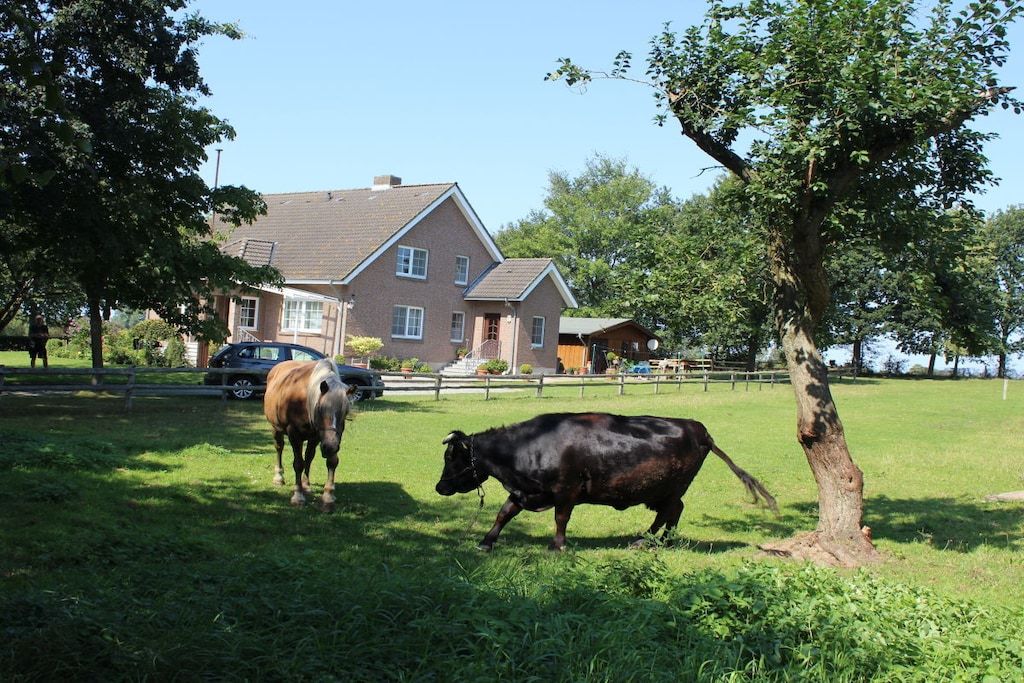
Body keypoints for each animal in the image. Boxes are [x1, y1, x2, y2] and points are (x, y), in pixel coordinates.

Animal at [264, 358, 355, 509]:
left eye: (345, 412)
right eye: (320, 409)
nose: (330, 447)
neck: (304, 400)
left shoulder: (319, 437)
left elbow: (329, 461)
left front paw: (327, 496)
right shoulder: (294, 434)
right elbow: (298, 464)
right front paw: (298, 496)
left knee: (308, 457)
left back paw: (305, 484)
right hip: (276, 428)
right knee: (279, 448)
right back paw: (279, 477)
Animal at [435, 412, 777, 551]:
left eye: (452, 458)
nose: (440, 487)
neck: (533, 445)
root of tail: (698, 428)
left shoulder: (566, 490)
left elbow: (561, 518)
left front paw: (558, 545)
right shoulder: (525, 491)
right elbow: (503, 514)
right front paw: (486, 541)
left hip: (669, 487)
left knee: (669, 511)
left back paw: (645, 541)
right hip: (664, 489)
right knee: (674, 511)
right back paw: (662, 541)